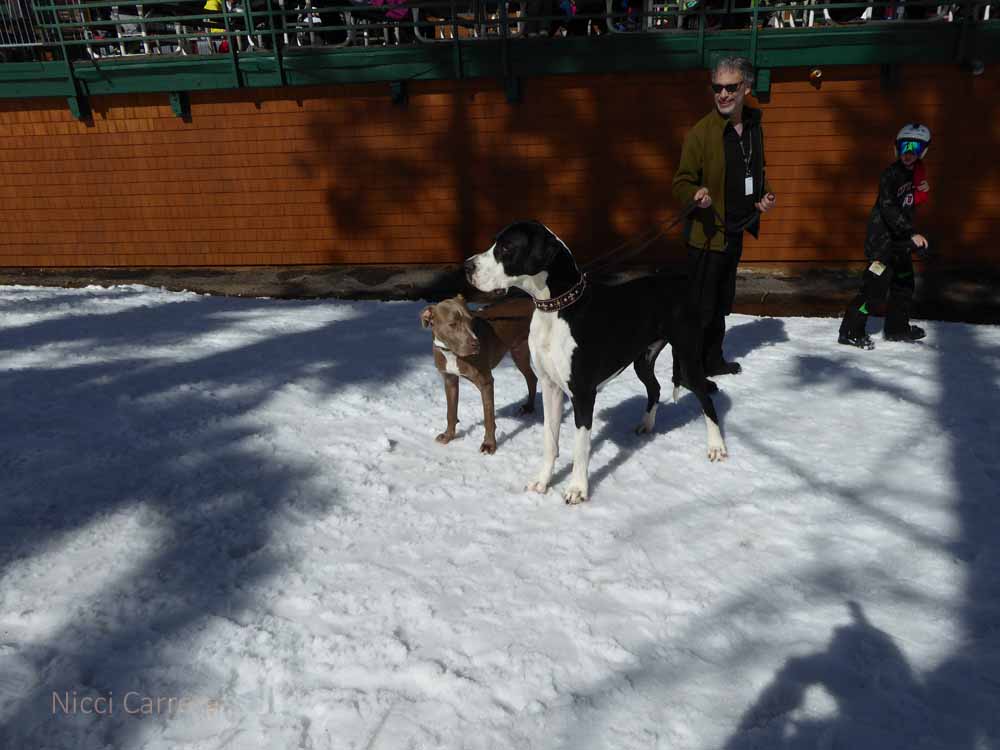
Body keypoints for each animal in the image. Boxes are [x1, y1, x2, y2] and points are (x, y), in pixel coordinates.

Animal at [420, 294, 537, 454]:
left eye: (470, 320)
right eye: (452, 324)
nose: (476, 344)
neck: (451, 352)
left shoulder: (486, 382)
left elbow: (488, 418)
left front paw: (489, 444)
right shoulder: (450, 380)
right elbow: (451, 412)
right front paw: (448, 436)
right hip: (519, 352)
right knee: (532, 378)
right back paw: (529, 407)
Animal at [465, 220, 725, 503]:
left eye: (506, 247)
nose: (467, 266)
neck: (556, 308)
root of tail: (678, 283)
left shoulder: (582, 394)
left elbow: (581, 447)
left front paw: (577, 489)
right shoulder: (550, 386)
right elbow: (549, 439)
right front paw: (542, 481)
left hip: (688, 359)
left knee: (706, 399)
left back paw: (717, 447)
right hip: (643, 360)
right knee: (654, 387)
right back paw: (647, 425)